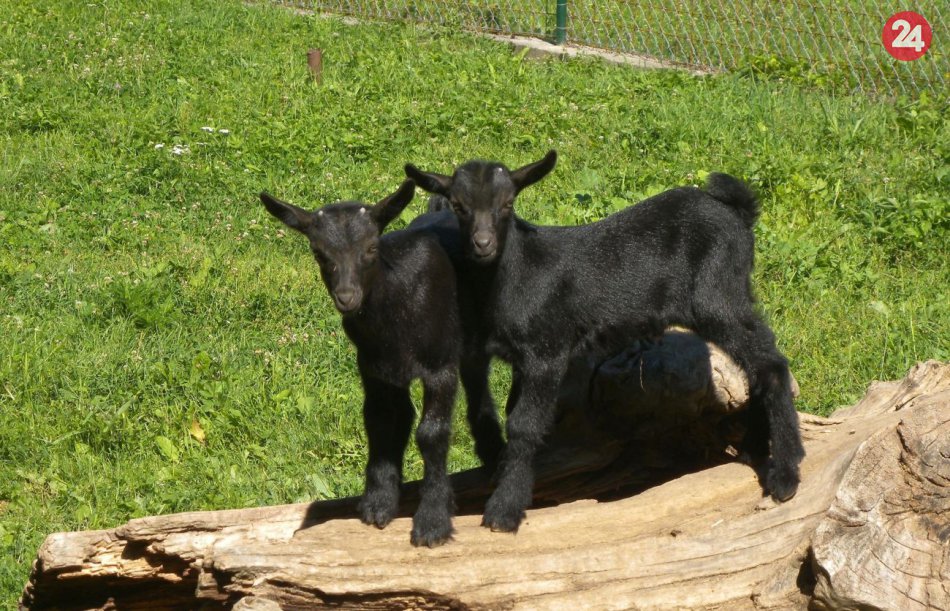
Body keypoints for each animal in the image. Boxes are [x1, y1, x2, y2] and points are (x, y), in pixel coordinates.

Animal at [260, 180, 471, 547]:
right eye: (318, 252)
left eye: (372, 247)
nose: (347, 297)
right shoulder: (376, 369)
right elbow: (381, 421)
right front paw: (378, 503)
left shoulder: (441, 365)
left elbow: (431, 434)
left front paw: (433, 522)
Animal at [405, 152, 805, 533]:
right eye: (459, 205)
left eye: (508, 204)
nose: (483, 244)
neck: (517, 274)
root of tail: (738, 213)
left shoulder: (547, 350)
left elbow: (524, 424)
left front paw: (505, 509)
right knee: (756, 362)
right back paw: (757, 448)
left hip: (717, 294)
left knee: (771, 363)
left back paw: (786, 473)